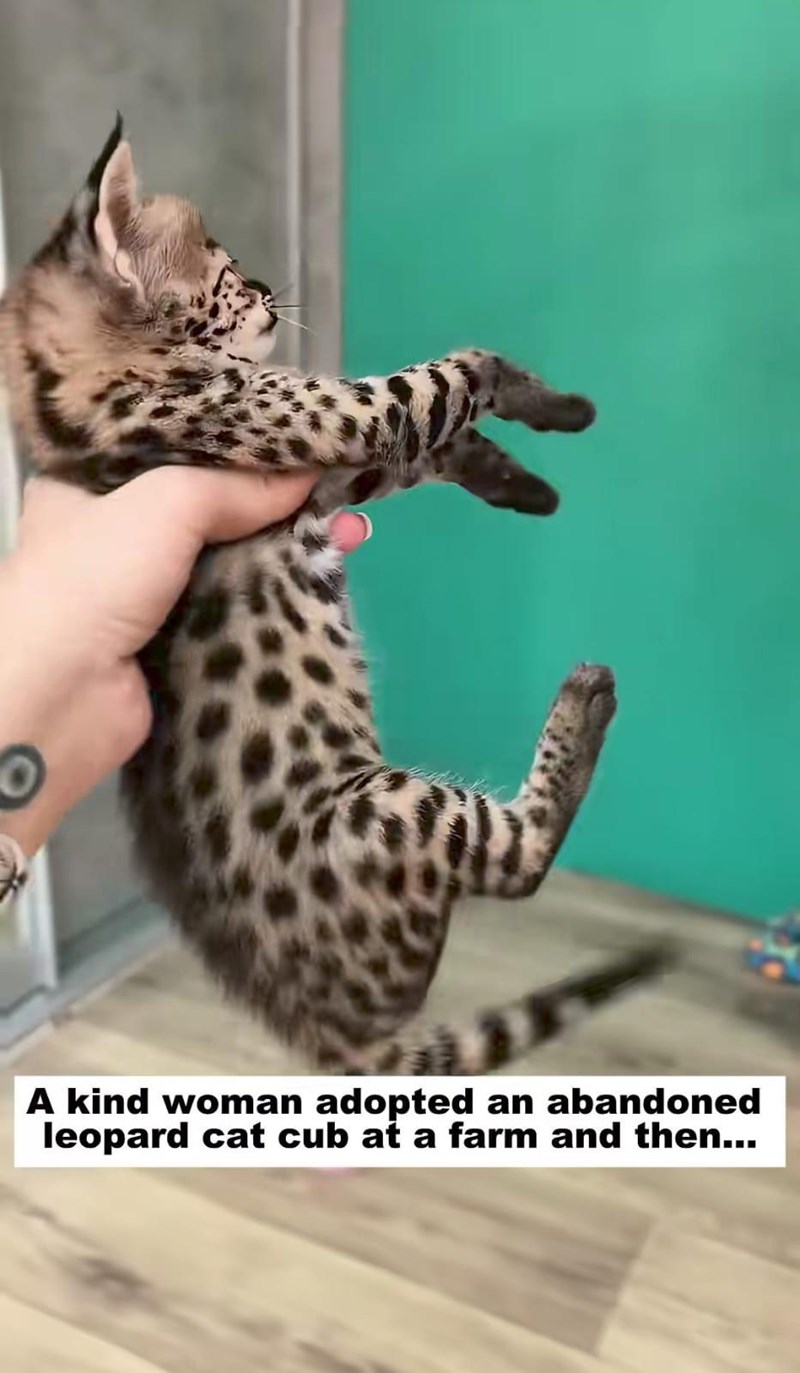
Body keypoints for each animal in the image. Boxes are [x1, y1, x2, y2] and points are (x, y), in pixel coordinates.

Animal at [0, 119, 672, 1074]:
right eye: (226, 270)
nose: (269, 289)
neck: (74, 404)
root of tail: (320, 1029)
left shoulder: (327, 464)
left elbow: (443, 438)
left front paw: (526, 484)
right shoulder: (335, 418)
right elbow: (464, 366)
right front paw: (560, 406)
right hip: (392, 812)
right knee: (521, 860)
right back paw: (587, 699)